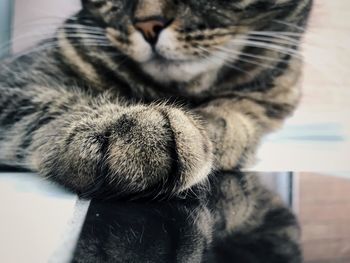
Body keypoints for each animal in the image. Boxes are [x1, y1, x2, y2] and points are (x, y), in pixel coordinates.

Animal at [0, 0, 312, 198]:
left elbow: (244, 112)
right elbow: (52, 105)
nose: (149, 24)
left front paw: (220, 128)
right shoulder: (16, 80)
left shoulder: (277, 93)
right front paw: (129, 127)